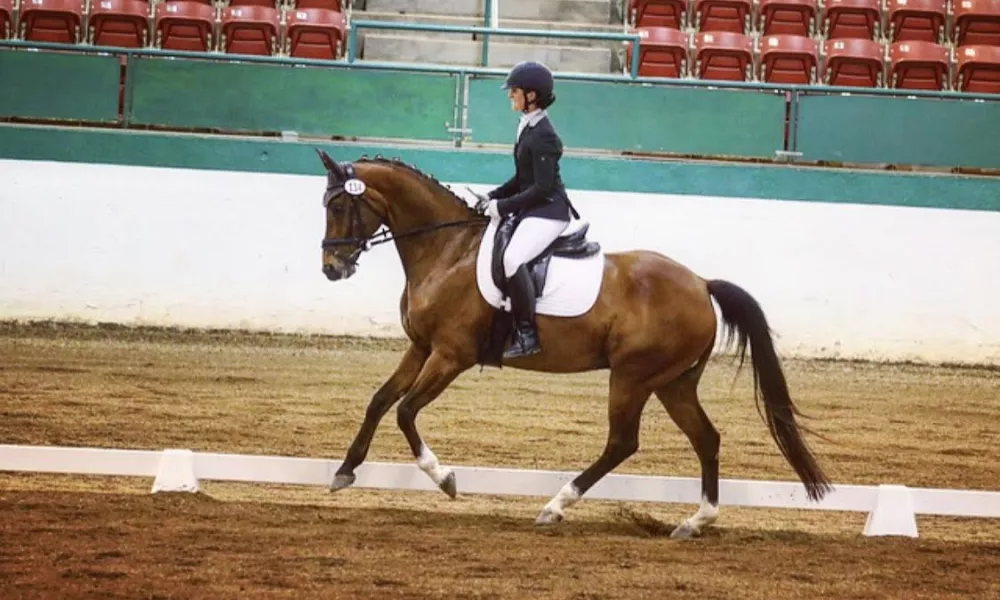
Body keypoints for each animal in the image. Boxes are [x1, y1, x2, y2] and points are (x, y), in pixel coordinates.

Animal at [316, 150, 832, 540]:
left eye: (339, 207)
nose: (332, 269)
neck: (449, 251)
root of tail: (702, 284)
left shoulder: (451, 355)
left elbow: (406, 411)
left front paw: (445, 479)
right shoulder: (422, 348)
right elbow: (380, 400)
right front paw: (344, 471)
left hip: (632, 377)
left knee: (622, 442)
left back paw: (555, 506)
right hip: (673, 382)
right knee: (705, 438)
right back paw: (695, 521)